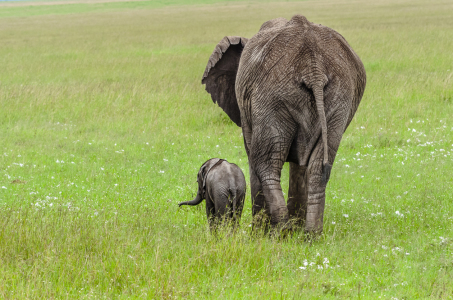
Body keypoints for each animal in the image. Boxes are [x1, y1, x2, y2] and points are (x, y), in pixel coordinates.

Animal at [201, 15, 364, 233]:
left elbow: (253, 157)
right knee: (317, 168)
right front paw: (295, 229)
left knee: (265, 165)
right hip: (339, 98)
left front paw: (259, 234)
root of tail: (313, 67)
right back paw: (309, 235)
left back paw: (280, 233)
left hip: (272, 97)